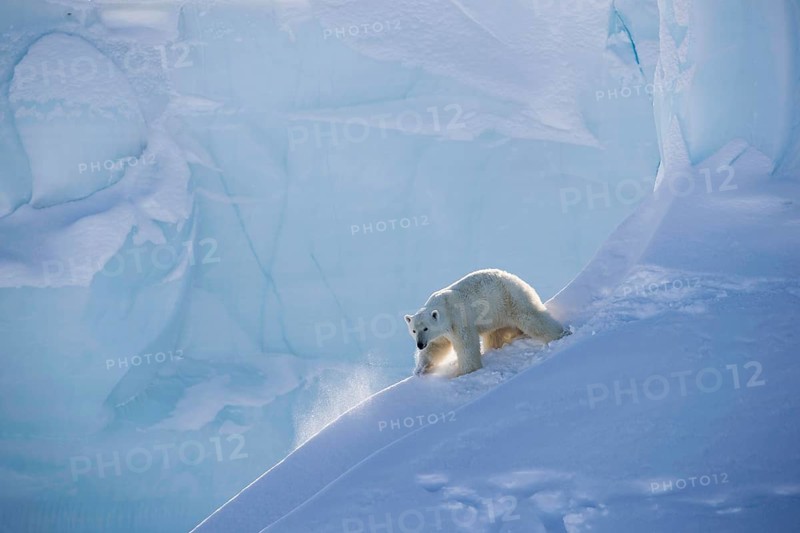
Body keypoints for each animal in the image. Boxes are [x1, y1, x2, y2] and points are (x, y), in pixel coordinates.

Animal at [404, 269, 569, 376]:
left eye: (426, 328)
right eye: (414, 330)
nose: (420, 344)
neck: (443, 305)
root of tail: (519, 280)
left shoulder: (459, 319)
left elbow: (466, 345)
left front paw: (465, 372)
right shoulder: (441, 332)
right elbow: (436, 346)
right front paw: (420, 369)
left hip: (510, 300)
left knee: (532, 318)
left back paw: (560, 334)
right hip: (498, 316)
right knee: (495, 336)